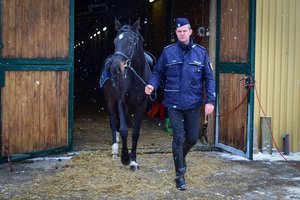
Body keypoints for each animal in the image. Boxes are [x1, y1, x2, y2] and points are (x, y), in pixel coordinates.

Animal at [100, 19, 154, 172]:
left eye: (131, 42)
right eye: (115, 42)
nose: (114, 68)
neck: (136, 76)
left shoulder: (141, 105)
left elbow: (135, 133)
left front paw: (133, 161)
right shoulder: (121, 102)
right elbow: (124, 130)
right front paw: (125, 158)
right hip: (110, 101)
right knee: (114, 121)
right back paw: (114, 149)